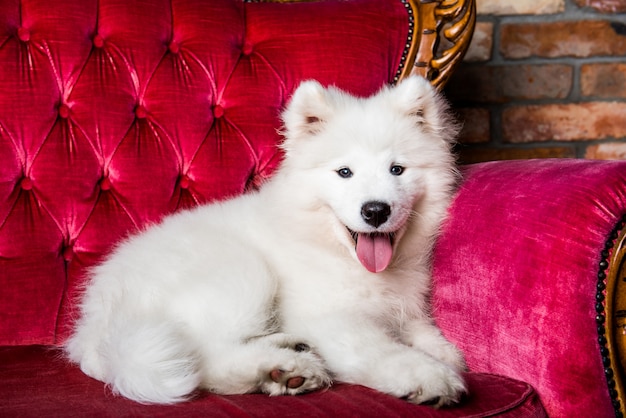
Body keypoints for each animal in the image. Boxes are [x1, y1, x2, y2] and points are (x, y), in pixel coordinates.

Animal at [64, 76, 464, 408]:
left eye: (397, 170)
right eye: (344, 172)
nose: (376, 211)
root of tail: (97, 326)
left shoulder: (406, 307)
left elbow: (423, 331)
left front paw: (444, 354)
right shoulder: (330, 317)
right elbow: (381, 350)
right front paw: (429, 376)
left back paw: (287, 351)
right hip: (241, 271)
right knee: (207, 358)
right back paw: (284, 368)